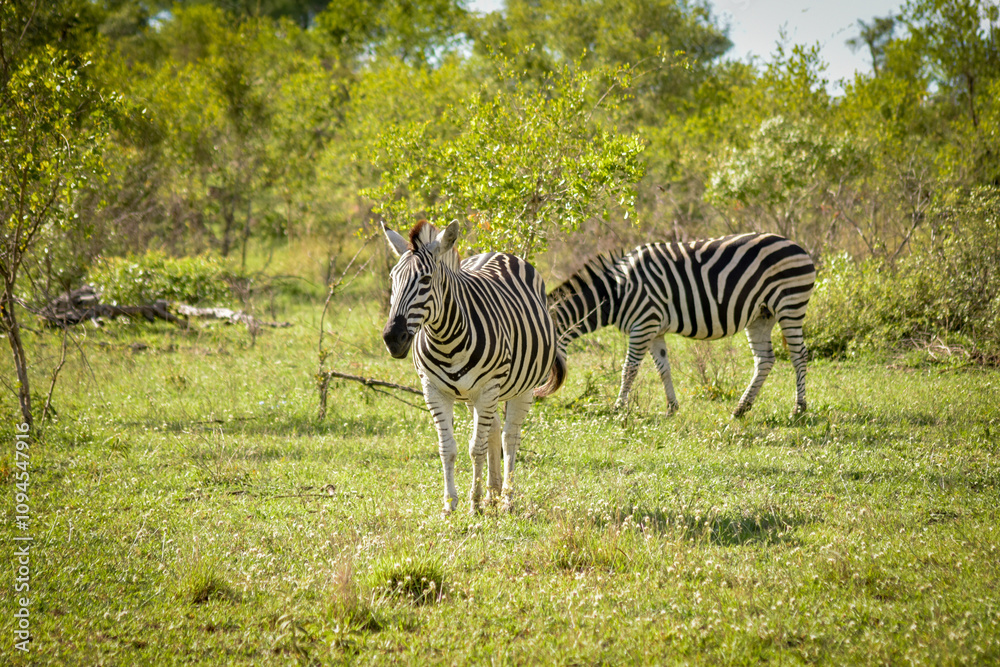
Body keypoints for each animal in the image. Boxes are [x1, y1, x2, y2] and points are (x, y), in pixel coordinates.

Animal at [381, 220, 566, 514]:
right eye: (392, 279)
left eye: (425, 280)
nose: (392, 338)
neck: (445, 340)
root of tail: (500, 253)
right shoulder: (433, 390)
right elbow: (448, 448)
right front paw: (450, 505)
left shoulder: (488, 387)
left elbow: (475, 449)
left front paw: (475, 503)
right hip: (474, 396)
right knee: (494, 431)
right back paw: (493, 492)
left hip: (518, 389)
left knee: (510, 437)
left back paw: (506, 498)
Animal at [547, 232, 816, 417]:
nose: (540, 399)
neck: (616, 293)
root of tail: (799, 247)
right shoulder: (654, 331)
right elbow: (663, 369)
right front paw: (671, 408)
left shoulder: (643, 324)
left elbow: (629, 369)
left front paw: (618, 408)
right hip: (761, 315)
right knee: (765, 360)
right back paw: (741, 408)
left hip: (790, 305)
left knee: (798, 355)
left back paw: (799, 408)